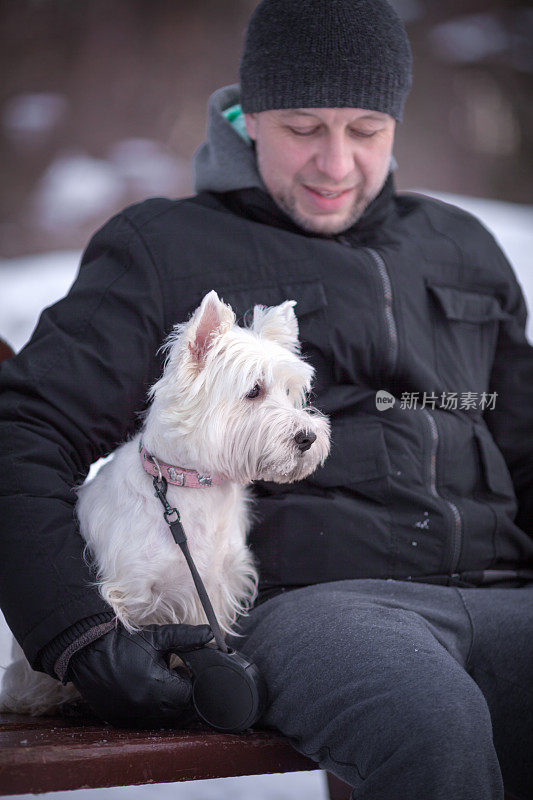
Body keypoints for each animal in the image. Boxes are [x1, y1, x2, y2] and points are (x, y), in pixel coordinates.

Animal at [1, 290, 328, 716]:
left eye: (291, 392)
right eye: (254, 390)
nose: (308, 437)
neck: (191, 487)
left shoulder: (212, 589)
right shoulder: (131, 592)